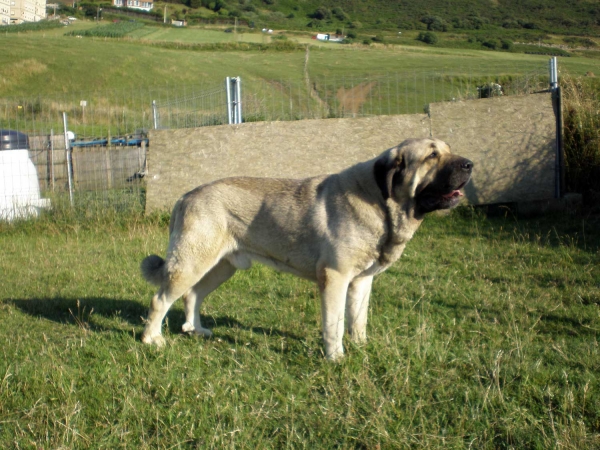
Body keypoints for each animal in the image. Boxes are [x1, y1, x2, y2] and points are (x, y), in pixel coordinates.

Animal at [141, 139, 474, 360]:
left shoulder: (362, 282)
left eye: (446, 149)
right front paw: (336, 357)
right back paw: (151, 339)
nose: (470, 164)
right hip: (191, 263)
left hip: (221, 267)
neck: (380, 201)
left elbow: (358, 320)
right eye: (432, 155)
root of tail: (185, 196)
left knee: (192, 295)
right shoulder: (335, 278)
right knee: (160, 299)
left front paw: (361, 347)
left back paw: (195, 330)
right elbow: (334, 324)